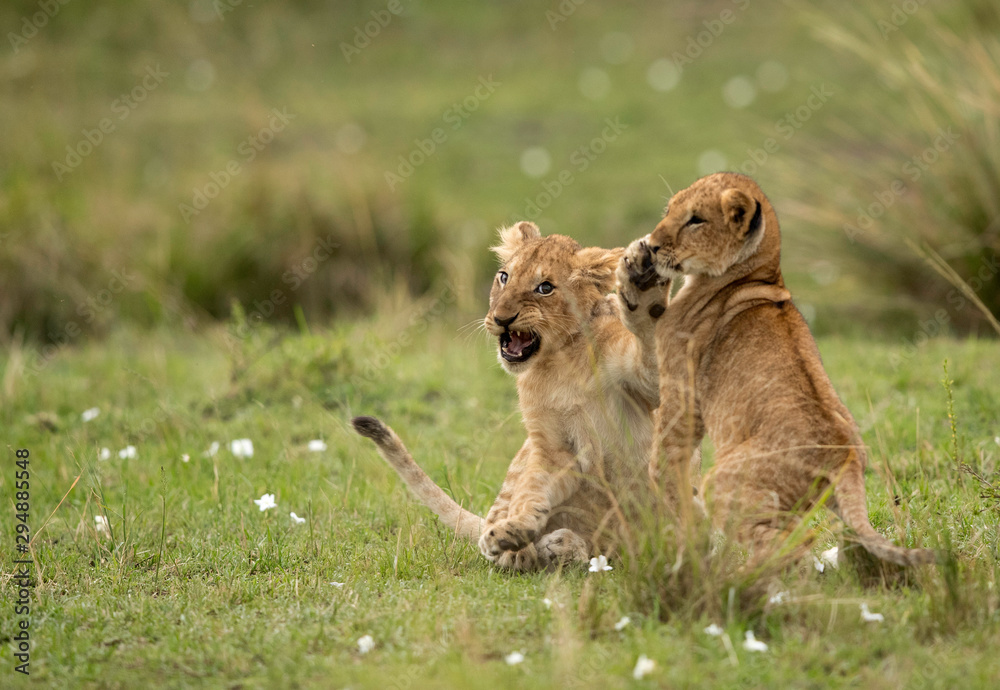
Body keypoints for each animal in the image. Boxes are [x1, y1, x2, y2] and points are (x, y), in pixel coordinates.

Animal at [353, 220, 669, 571]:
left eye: (545, 288)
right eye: (504, 277)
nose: (502, 318)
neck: (561, 361)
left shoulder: (648, 384)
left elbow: (652, 340)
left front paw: (644, 276)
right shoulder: (551, 445)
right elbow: (533, 491)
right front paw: (511, 531)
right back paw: (542, 546)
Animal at [617, 172, 935, 567]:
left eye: (695, 220)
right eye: (669, 210)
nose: (654, 245)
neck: (754, 277)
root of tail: (844, 457)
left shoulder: (681, 386)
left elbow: (665, 456)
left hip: (725, 483)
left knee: (790, 548)